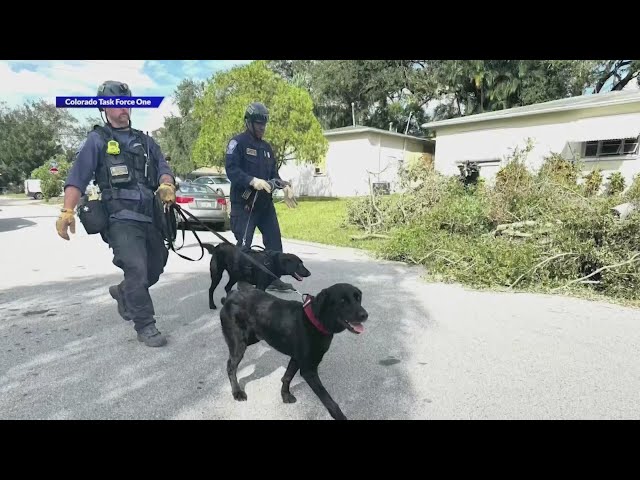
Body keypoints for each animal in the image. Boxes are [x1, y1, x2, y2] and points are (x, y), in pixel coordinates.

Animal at [220, 282, 370, 420]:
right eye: (342, 301)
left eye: (358, 298)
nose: (365, 315)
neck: (315, 322)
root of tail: (231, 296)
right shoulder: (309, 370)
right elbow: (328, 399)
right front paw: (340, 415)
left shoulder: (297, 358)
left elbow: (287, 377)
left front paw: (285, 395)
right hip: (239, 344)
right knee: (230, 366)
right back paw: (236, 392)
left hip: (253, 338)